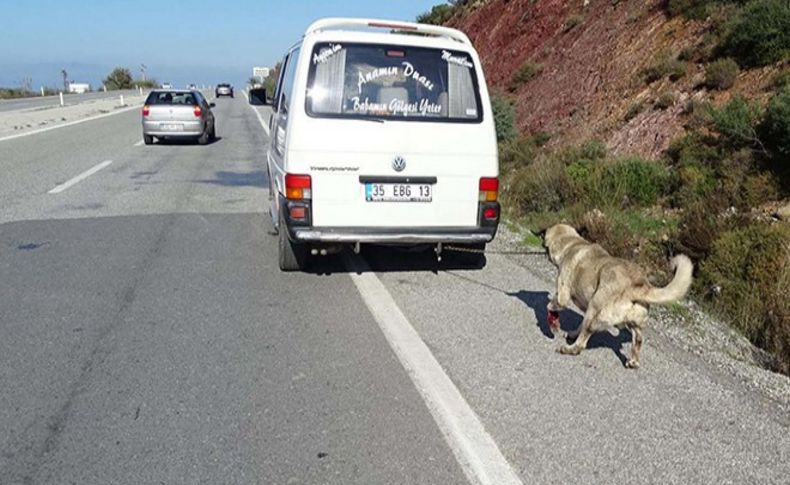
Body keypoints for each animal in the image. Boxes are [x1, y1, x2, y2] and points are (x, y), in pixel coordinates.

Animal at [544, 223, 692, 366]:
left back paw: (569, 348)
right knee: (638, 339)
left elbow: (553, 305)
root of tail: (635, 287)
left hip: (593, 312)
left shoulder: (563, 295)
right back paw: (633, 361)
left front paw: (552, 318)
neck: (572, 243)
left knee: (581, 343)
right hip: (632, 322)